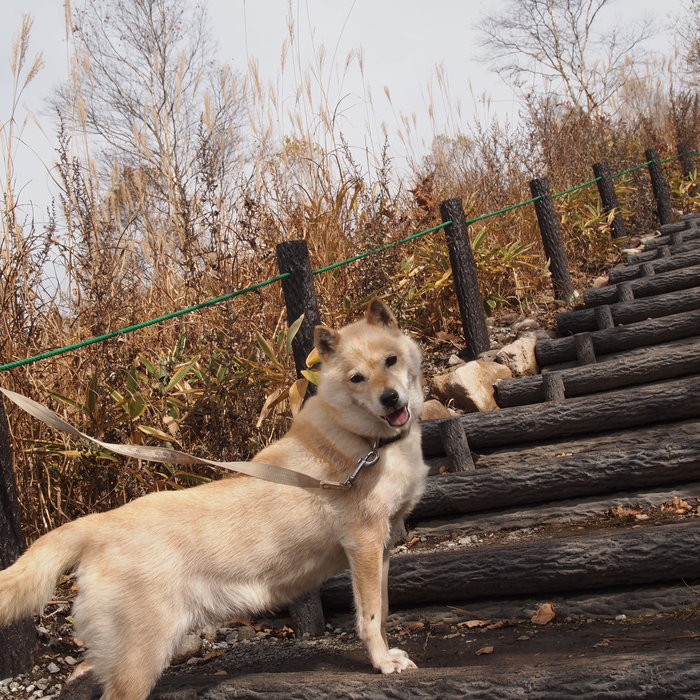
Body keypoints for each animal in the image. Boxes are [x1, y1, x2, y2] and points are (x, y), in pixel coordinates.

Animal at [0, 300, 426, 700]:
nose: (391, 399)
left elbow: (383, 608)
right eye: (357, 378)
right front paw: (382, 662)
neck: (365, 442)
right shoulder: (363, 543)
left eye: (391, 360)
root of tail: (97, 525)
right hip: (139, 661)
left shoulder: (382, 547)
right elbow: (370, 616)